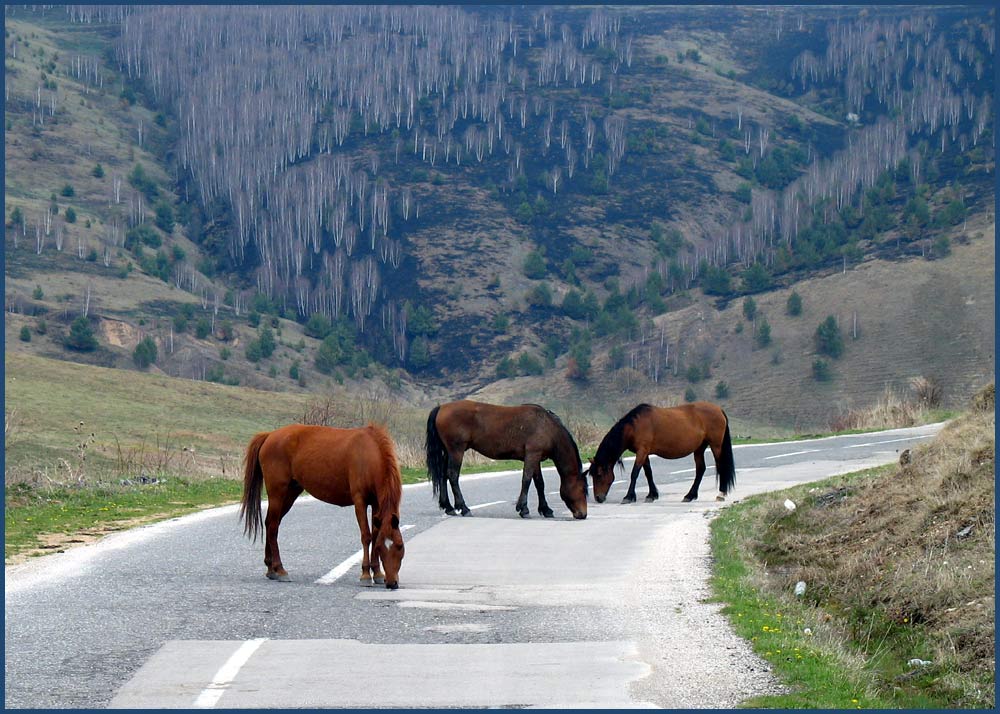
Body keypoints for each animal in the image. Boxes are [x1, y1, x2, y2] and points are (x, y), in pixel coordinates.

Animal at [240, 422, 404, 584]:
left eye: (400, 546)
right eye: (382, 549)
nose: (392, 583)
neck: (369, 454)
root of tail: (269, 435)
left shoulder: (376, 503)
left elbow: (375, 535)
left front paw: (377, 573)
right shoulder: (360, 502)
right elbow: (366, 536)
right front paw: (365, 574)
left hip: (290, 494)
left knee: (270, 524)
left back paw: (270, 568)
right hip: (277, 494)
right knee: (273, 527)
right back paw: (280, 569)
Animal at [426, 398, 588, 520]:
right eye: (582, 489)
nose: (583, 514)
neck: (547, 427)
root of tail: (441, 407)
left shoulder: (535, 459)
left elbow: (539, 484)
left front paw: (545, 509)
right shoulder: (532, 456)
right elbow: (526, 480)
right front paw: (524, 509)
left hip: (448, 452)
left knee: (443, 475)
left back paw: (448, 507)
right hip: (456, 451)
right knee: (452, 476)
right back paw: (464, 508)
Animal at [584, 400, 736, 500]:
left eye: (599, 475)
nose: (598, 498)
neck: (634, 426)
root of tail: (719, 409)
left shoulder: (642, 451)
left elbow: (635, 473)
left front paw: (629, 496)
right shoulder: (644, 453)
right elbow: (648, 473)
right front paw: (652, 495)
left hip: (716, 446)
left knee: (720, 466)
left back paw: (721, 493)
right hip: (699, 448)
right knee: (700, 469)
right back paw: (690, 495)